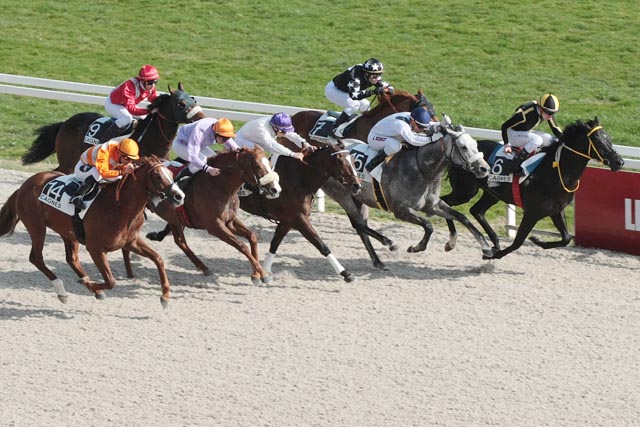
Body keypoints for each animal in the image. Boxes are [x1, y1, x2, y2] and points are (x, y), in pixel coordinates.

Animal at [0, 156, 185, 307]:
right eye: (158, 176)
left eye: (171, 173)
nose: (179, 196)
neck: (120, 207)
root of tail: (24, 186)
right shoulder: (96, 249)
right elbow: (111, 281)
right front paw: (90, 285)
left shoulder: (131, 242)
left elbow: (158, 259)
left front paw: (165, 296)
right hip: (37, 226)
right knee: (36, 258)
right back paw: (63, 291)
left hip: (68, 232)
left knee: (72, 259)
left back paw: (88, 286)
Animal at [21, 82, 204, 173]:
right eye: (181, 103)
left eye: (193, 99)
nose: (201, 117)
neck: (149, 140)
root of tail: (65, 123)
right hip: (68, 162)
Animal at [136, 147, 282, 284]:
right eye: (257, 166)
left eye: (270, 164)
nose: (276, 189)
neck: (219, 186)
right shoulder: (214, 226)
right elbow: (242, 245)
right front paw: (263, 274)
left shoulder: (230, 221)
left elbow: (252, 237)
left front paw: (256, 275)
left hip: (174, 218)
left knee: (180, 242)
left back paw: (203, 267)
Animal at [320, 122, 493, 270]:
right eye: (463, 147)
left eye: (476, 145)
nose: (484, 168)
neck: (422, 169)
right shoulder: (401, 210)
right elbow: (428, 226)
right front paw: (416, 247)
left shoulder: (432, 205)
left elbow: (462, 217)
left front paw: (485, 248)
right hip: (343, 195)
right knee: (359, 224)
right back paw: (389, 243)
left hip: (360, 199)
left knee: (361, 227)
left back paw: (378, 261)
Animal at [441, 117, 624, 259]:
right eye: (598, 141)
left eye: (609, 138)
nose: (619, 162)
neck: (556, 172)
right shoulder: (532, 212)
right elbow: (518, 241)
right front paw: (494, 255)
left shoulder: (556, 210)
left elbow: (566, 238)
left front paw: (538, 241)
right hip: (464, 191)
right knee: (445, 203)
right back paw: (455, 241)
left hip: (491, 193)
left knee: (476, 210)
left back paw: (495, 242)